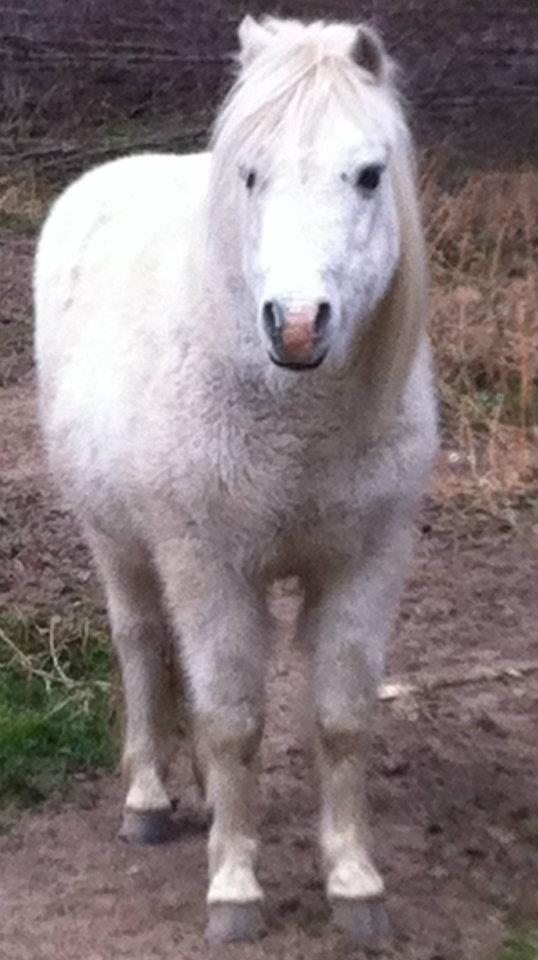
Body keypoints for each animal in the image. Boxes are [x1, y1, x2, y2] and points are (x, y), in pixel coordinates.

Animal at [33, 16, 436, 952]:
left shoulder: (368, 563)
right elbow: (232, 720)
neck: (294, 410)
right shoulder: (207, 563)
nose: (296, 325)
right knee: (144, 645)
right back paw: (149, 801)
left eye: (369, 174)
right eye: (250, 173)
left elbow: (340, 719)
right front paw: (234, 890)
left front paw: (354, 884)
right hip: (120, 543)